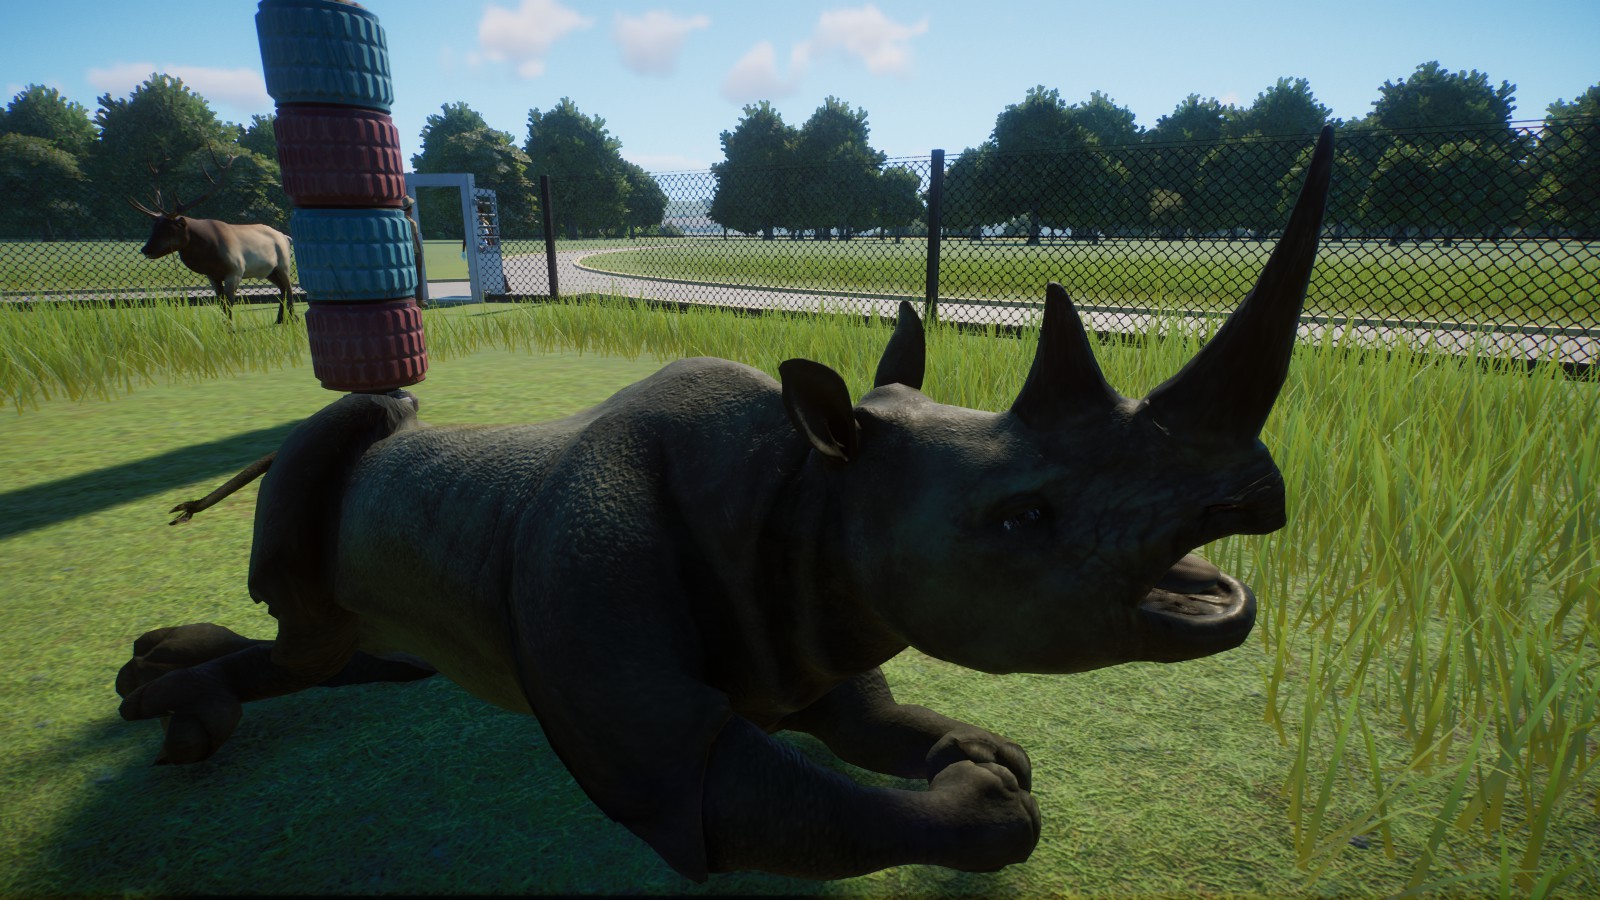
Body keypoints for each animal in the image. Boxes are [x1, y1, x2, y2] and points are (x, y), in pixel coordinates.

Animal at [117, 127, 1334, 882]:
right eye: (1020, 519)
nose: (1253, 500)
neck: (801, 483)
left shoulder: (815, 631)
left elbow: (890, 735)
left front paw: (981, 753)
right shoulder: (669, 747)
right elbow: (759, 789)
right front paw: (991, 797)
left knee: (359, 648)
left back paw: (169, 681)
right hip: (339, 483)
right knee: (317, 600)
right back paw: (174, 711)